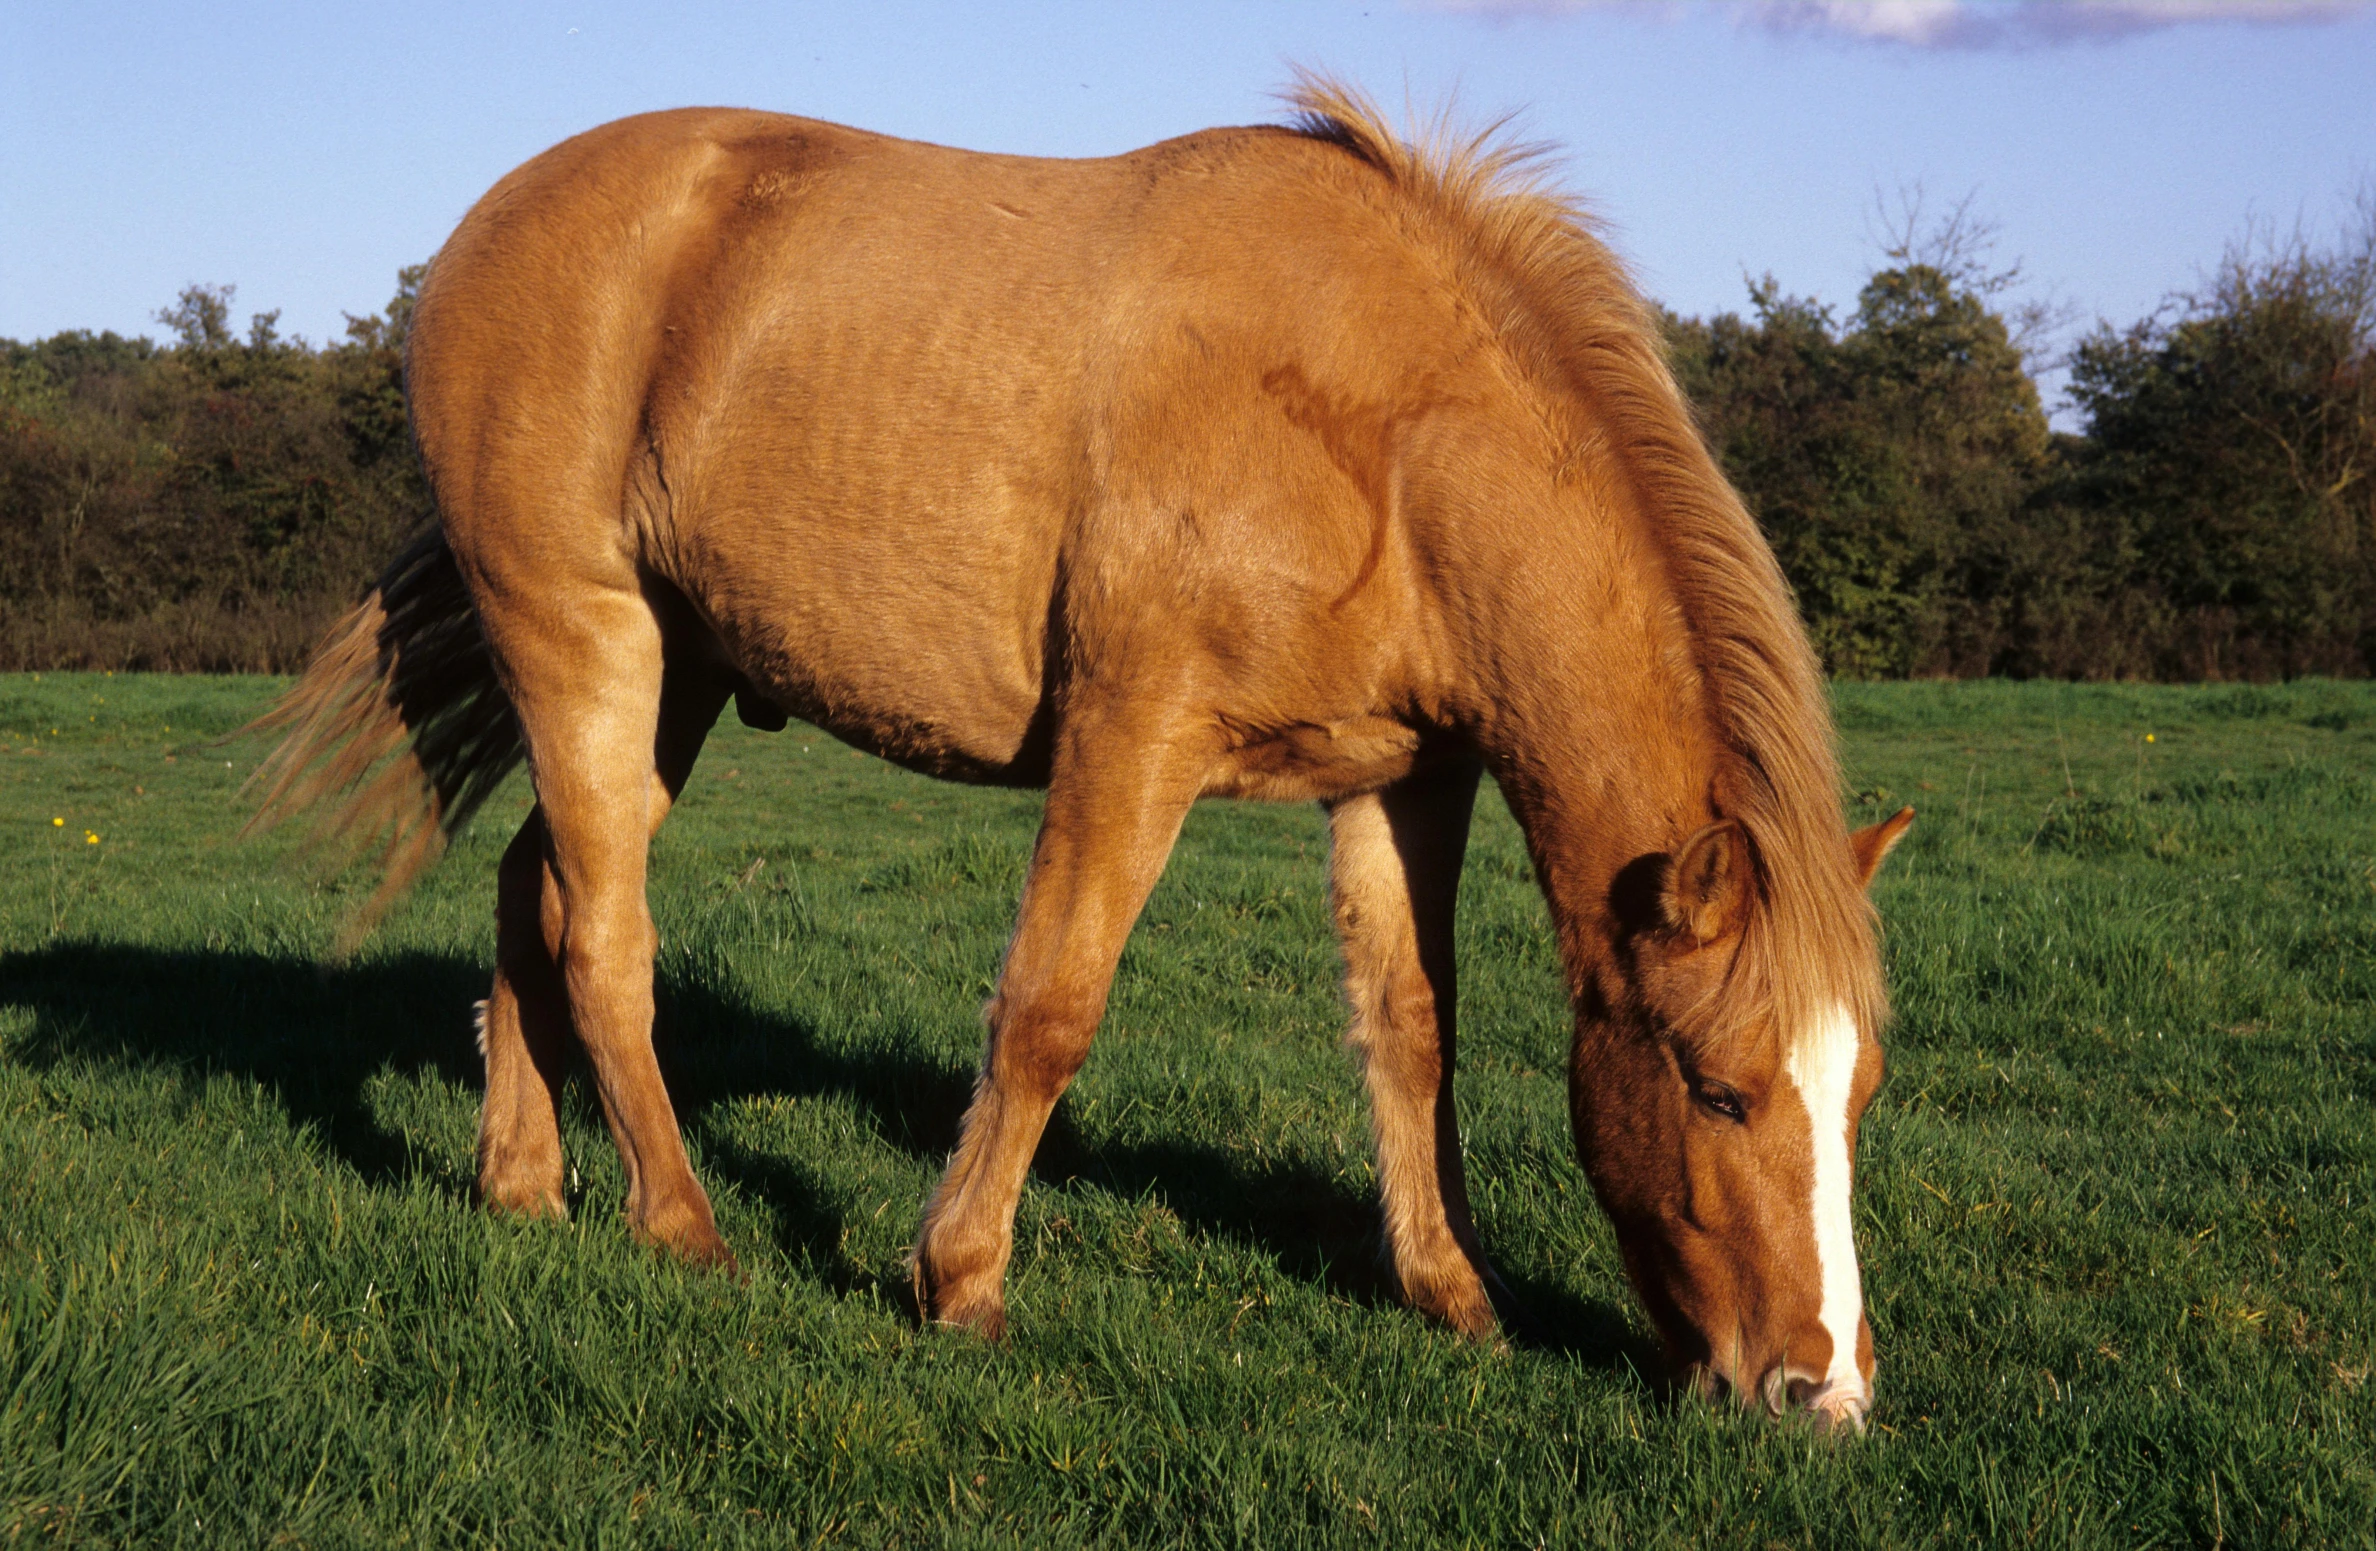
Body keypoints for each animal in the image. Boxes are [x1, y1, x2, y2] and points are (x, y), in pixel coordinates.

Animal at [250, 75, 1910, 1425]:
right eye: (1720, 1090)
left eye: (1861, 1092)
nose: (1823, 1391)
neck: (1382, 425)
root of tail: (489, 226)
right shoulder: (1133, 732)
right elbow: (1051, 1005)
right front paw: (959, 1275)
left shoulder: (1404, 778)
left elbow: (1413, 1027)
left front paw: (1453, 1293)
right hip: (580, 637)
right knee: (604, 933)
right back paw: (683, 1225)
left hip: (676, 673)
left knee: (536, 888)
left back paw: (523, 1184)